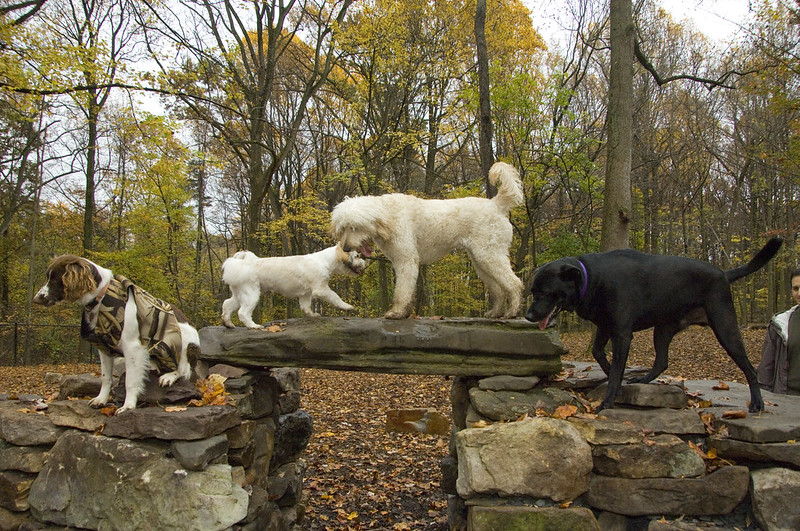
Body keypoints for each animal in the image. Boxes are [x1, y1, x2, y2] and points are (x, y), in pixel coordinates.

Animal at [32, 255, 198, 416]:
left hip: (181, 339)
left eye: (55, 279)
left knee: (185, 369)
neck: (101, 297)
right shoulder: (104, 347)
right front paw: (101, 399)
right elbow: (106, 377)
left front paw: (128, 406)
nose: (36, 299)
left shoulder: (133, 347)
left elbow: (130, 381)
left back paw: (168, 376)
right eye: (48, 277)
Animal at [220, 245, 368, 328]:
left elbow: (306, 306)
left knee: (227, 305)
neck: (325, 261)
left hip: (239, 295)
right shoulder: (321, 289)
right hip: (251, 295)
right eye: (357, 256)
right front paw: (346, 306)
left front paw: (312, 315)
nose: (364, 263)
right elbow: (335, 297)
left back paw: (228, 323)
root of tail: (242, 264)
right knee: (242, 313)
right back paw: (253, 326)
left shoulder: (306, 294)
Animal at [330, 162, 524, 320]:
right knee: (499, 289)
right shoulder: (401, 262)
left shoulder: (407, 260)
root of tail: (496, 204)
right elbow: (408, 291)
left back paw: (512, 312)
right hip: (480, 261)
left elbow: (402, 291)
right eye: (343, 227)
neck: (388, 218)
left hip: (489, 255)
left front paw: (396, 312)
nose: (345, 248)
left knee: (514, 283)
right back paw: (496, 312)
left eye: (354, 227)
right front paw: (405, 312)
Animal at [524, 239, 780, 414]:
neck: (592, 278)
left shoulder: (622, 334)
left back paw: (757, 403)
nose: (528, 315)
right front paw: (613, 375)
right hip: (662, 330)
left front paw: (608, 400)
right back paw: (643, 380)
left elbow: (616, 370)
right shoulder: (605, 327)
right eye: (533, 291)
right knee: (662, 361)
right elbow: (599, 353)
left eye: (544, 292)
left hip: (725, 328)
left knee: (750, 368)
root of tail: (724, 274)